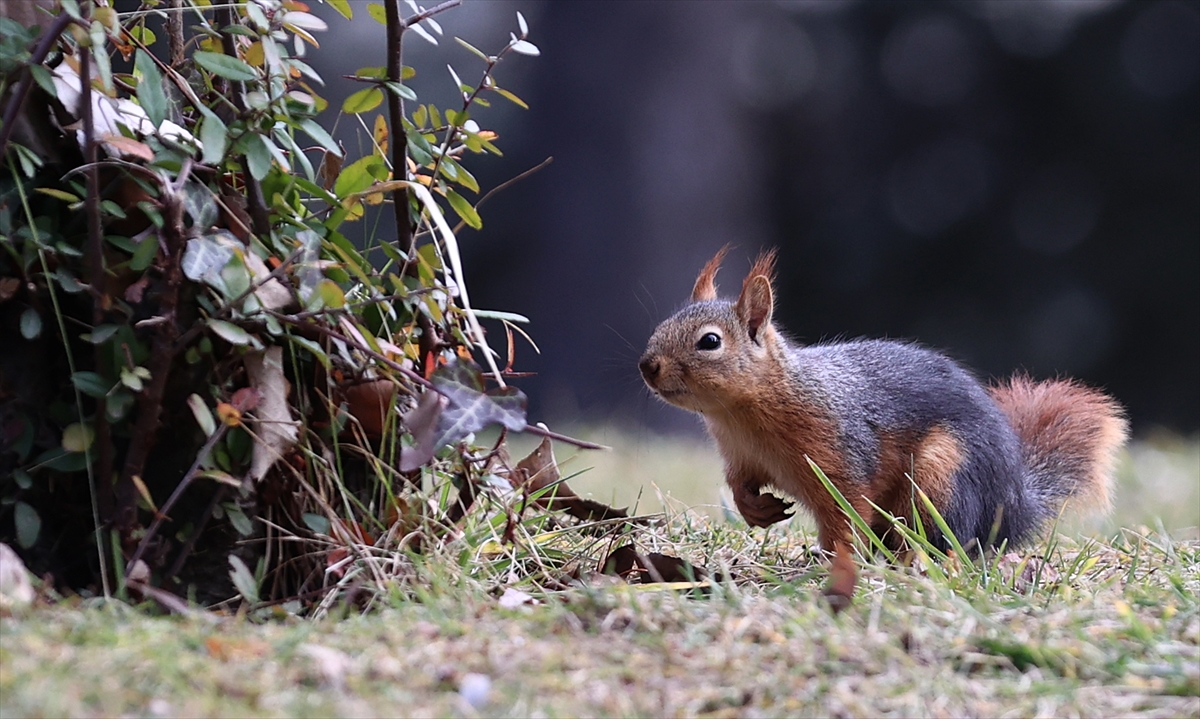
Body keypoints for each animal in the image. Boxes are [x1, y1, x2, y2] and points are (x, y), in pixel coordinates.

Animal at [639, 247, 1128, 610]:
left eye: (710, 341)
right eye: (661, 325)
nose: (647, 366)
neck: (742, 415)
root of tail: (1013, 503)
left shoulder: (842, 454)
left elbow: (847, 513)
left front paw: (835, 564)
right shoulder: (741, 456)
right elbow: (740, 484)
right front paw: (756, 510)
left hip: (943, 475)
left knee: (948, 538)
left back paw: (915, 560)